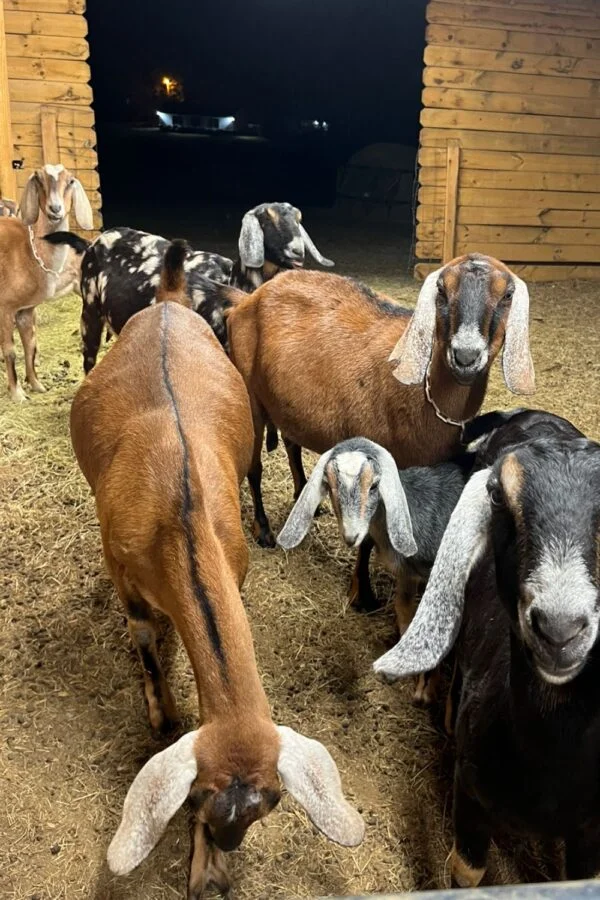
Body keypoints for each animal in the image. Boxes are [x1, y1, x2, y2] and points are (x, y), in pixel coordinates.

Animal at [0, 164, 93, 400]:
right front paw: (17, 394)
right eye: (39, 180)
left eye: (70, 181)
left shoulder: (25, 309)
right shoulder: (5, 307)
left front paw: (36, 384)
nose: (55, 208)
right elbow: (11, 350)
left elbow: (30, 346)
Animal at [70, 256, 363, 897]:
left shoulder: (233, 567)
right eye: (197, 800)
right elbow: (145, 640)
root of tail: (170, 299)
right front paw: (162, 712)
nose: (225, 850)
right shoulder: (122, 571)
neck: (178, 510)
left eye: (270, 803)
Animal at [225, 254, 535, 550]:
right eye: (441, 290)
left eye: (507, 294)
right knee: (254, 467)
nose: (466, 356)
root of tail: (247, 300)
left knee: (292, 443)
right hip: (250, 396)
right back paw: (263, 529)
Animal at [278, 437, 472, 704]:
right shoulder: (407, 574)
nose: (352, 536)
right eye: (329, 486)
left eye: (374, 486)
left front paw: (427, 691)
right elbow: (404, 612)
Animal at [374, 409, 600, 886]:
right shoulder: (470, 797)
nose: (560, 627)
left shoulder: (590, 832)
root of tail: (531, 414)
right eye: (497, 495)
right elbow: (467, 870)